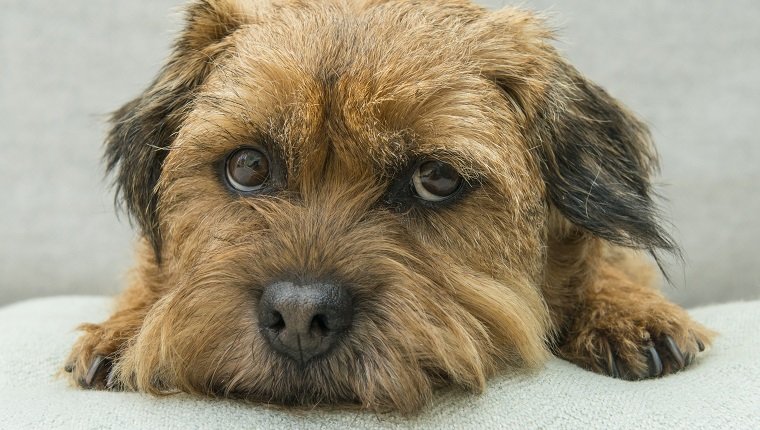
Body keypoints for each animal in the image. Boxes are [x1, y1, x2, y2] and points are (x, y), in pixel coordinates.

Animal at [63, 0, 712, 414]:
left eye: (436, 179)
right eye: (247, 166)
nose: (299, 314)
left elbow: (605, 257)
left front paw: (627, 309)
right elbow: (153, 274)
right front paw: (126, 328)